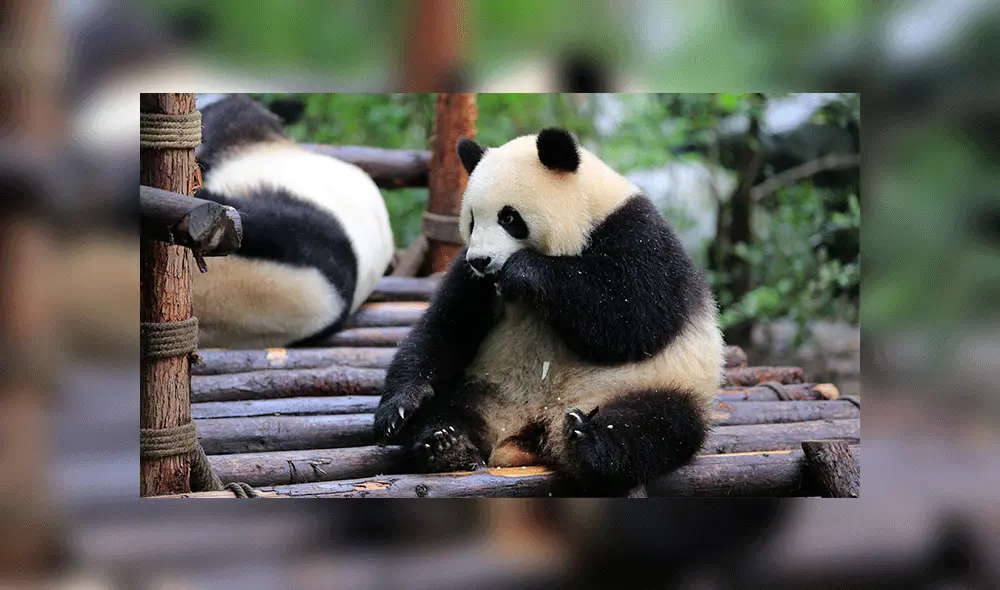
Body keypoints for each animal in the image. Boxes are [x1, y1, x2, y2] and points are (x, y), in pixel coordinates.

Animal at [374, 127, 724, 494]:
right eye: (471, 221)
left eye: (508, 217)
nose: (480, 260)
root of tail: (535, 424)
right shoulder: (471, 280)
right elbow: (446, 327)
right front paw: (398, 408)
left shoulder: (637, 236)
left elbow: (634, 316)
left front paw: (524, 271)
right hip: (487, 387)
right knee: (449, 408)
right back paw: (444, 443)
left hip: (642, 384)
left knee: (656, 426)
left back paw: (590, 445)